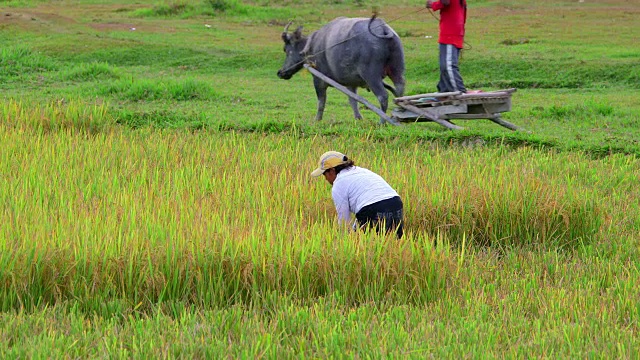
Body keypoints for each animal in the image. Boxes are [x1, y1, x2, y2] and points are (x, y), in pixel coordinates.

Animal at [276, 16, 404, 121]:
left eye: (285, 49)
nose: (280, 72)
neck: (311, 46)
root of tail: (384, 29)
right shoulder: (351, 83)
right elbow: (353, 100)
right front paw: (358, 118)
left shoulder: (318, 79)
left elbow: (321, 101)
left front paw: (317, 119)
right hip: (397, 71)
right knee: (399, 92)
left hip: (371, 76)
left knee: (383, 95)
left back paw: (382, 121)